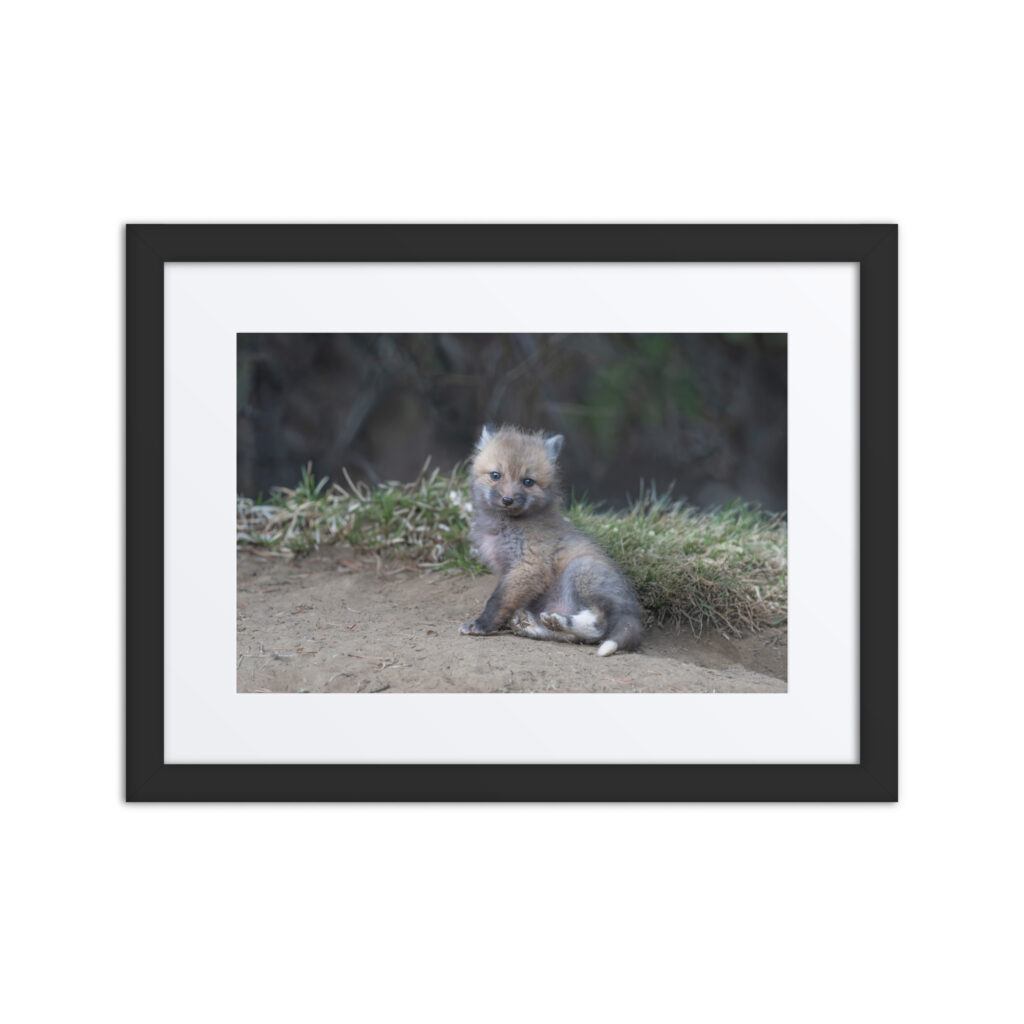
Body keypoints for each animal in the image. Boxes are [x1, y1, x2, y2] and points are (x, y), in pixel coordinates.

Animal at [459, 425, 644, 656]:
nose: (507, 500)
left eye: (528, 481)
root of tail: (634, 612)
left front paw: (482, 625)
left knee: (598, 626)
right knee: (573, 638)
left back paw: (559, 621)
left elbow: (498, 600)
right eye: (495, 475)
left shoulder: (530, 565)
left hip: (580, 570)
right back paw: (535, 626)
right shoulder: (509, 570)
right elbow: (507, 600)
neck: (504, 526)